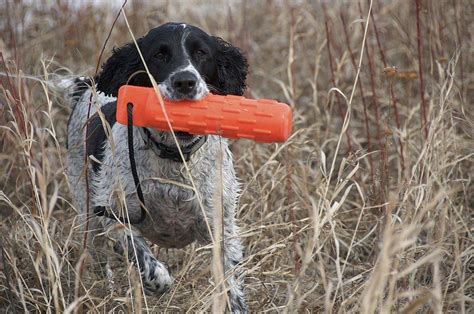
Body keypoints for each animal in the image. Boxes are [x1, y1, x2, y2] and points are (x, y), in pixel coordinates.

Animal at [65, 22, 248, 312]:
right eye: (159, 55)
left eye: (201, 53)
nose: (184, 81)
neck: (174, 156)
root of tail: (85, 89)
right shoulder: (113, 214)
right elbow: (140, 254)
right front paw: (157, 281)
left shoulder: (222, 227)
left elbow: (231, 284)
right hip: (86, 213)